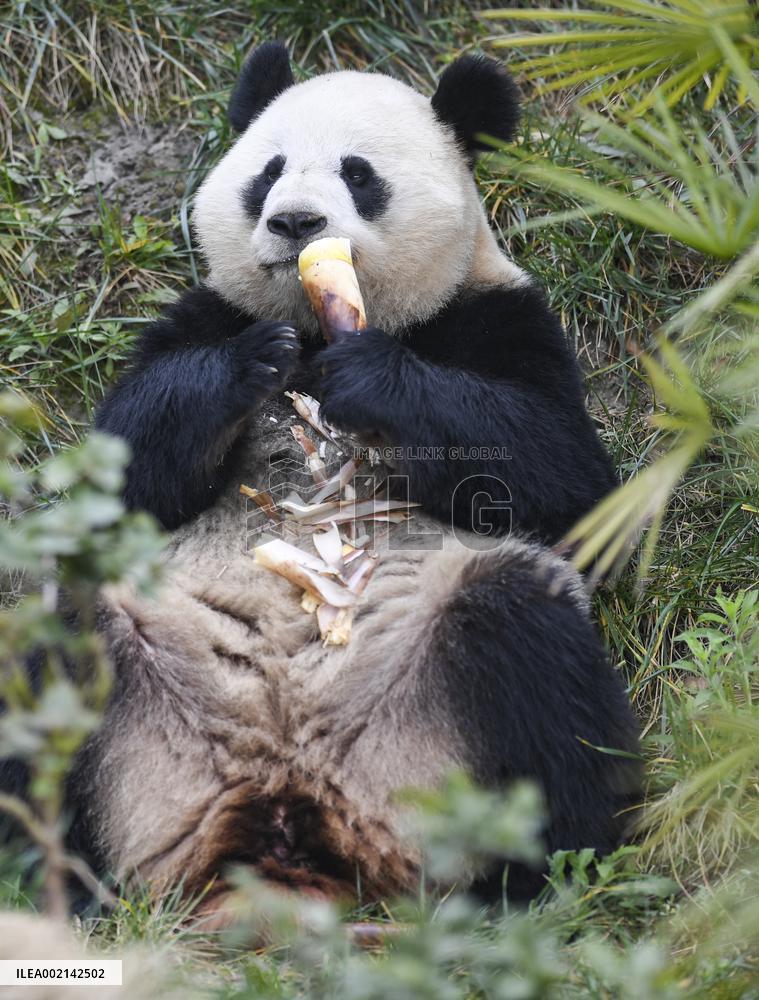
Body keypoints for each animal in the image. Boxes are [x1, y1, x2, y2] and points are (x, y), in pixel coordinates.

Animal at [67, 43, 640, 910]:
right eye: (268, 172)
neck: (317, 318)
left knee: (529, 647)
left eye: (358, 174)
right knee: (63, 641)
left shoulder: (500, 317)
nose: (295, 222)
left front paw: (370, 379)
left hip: (420, 729)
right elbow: (121, 470)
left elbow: (571, 485)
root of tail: (286, 798)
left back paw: (537, 879)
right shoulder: (204, 313)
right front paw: (250, 366)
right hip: (152, 704)